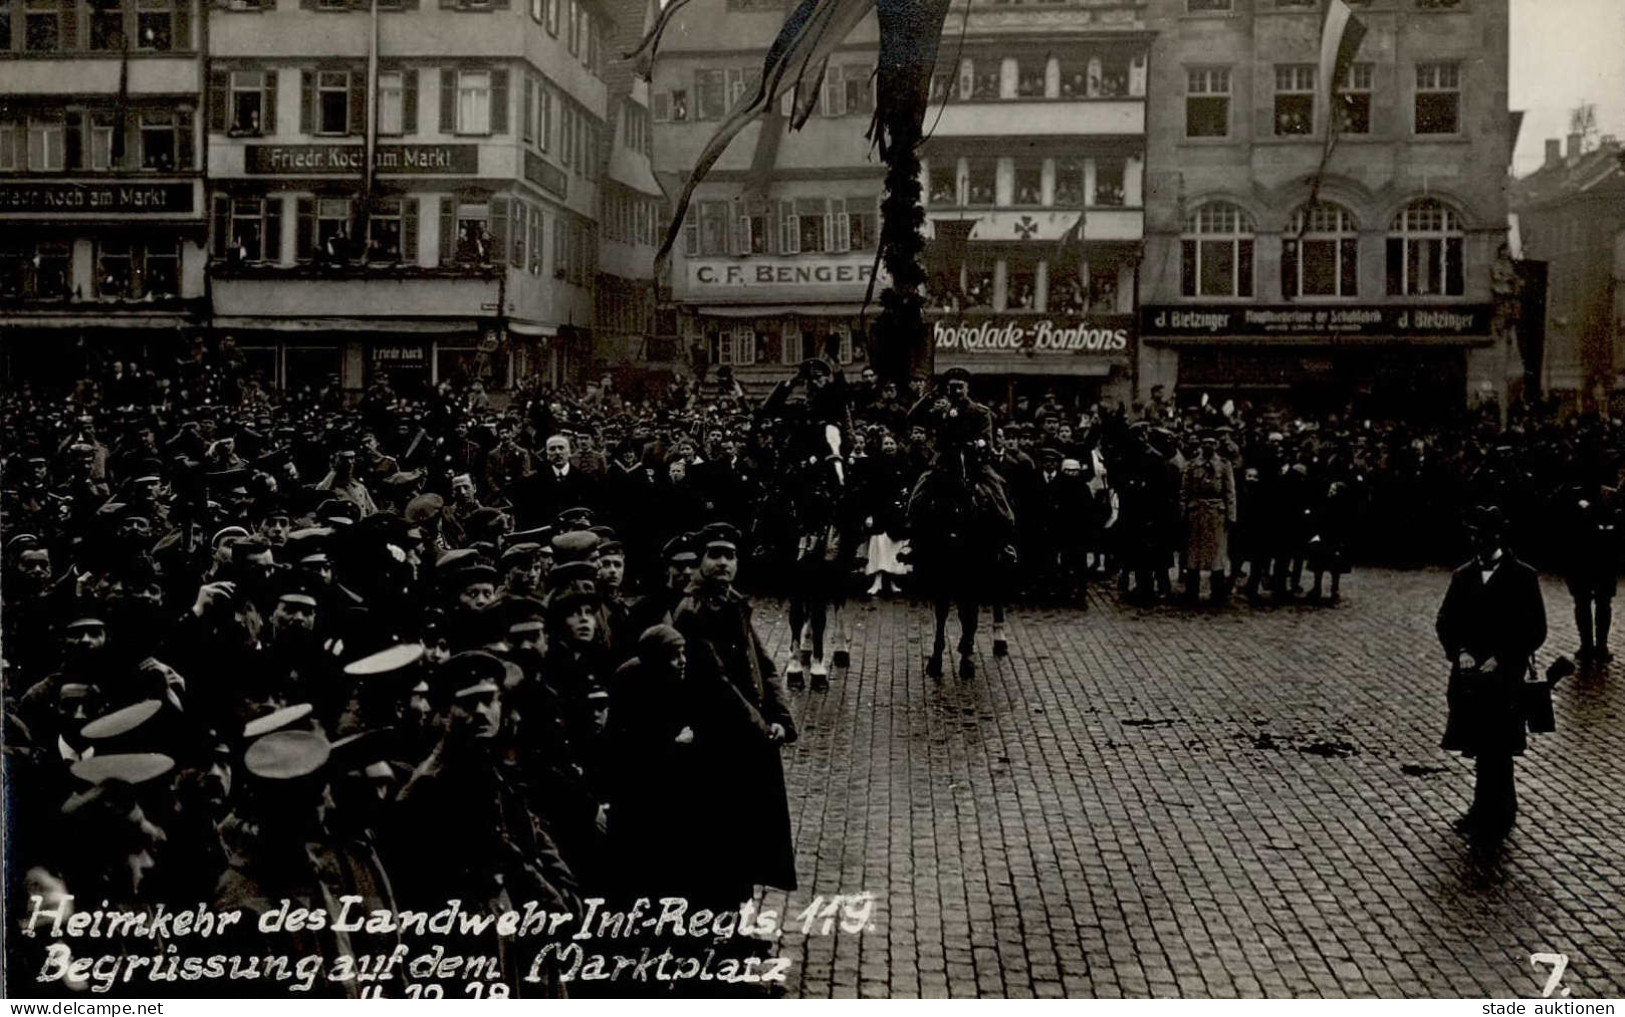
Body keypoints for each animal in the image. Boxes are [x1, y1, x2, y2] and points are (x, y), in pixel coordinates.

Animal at [910, 441, 1007, 672]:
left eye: (972, 461)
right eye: (944, 467)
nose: (954, 537)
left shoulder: (972, 571)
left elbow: (967, 612)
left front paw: (966, 659)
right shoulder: (940, 573)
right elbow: (943, 612)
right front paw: (936, 659)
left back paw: (996, 639)